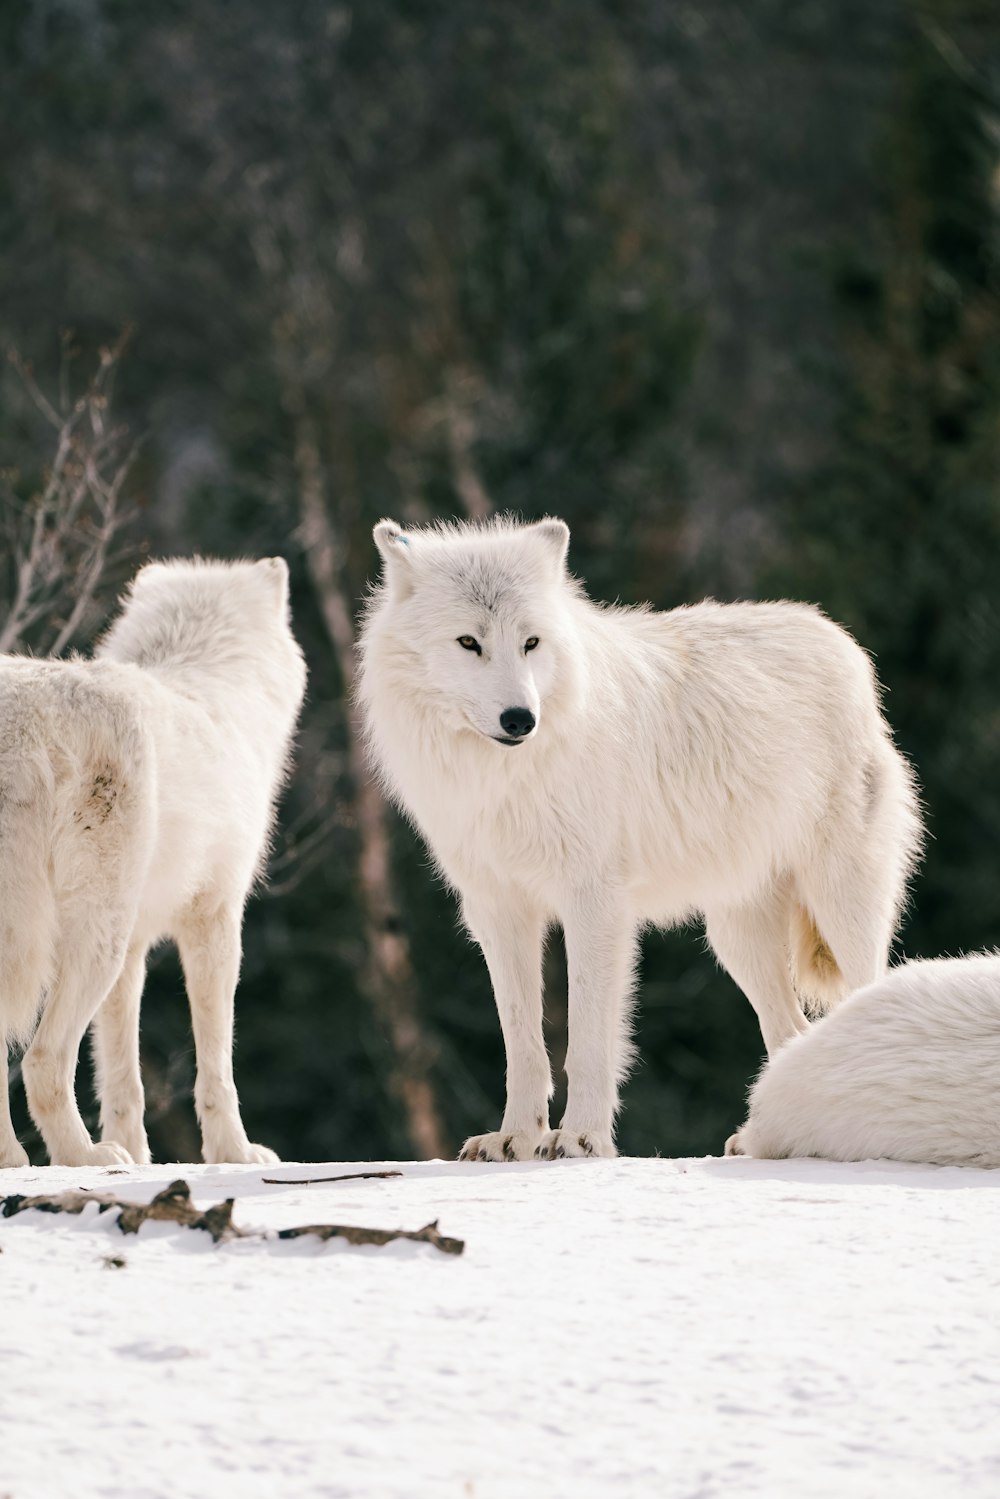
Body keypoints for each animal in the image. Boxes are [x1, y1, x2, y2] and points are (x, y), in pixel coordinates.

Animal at [0, 560, 305, 1169]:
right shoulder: (215, 919)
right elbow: (216, 1063)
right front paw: (234, 1153)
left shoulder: (137, 949)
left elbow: (122, 1074)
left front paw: (140, 1156)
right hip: (95, 938)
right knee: (43, 1062)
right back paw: (87, 1157)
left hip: (95, 940)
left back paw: (18, 1160)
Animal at [358, 515, 923, 1157]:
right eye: (468, 643)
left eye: (531, 643)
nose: (520, 719)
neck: (506, 777)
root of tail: (841, 641)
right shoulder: (498, 911)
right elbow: (522, 1045)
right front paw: (515, 1138)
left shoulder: (594, 903)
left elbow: (587, 1040)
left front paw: (579, 1138)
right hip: (735, 940)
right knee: (791, 1031)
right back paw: (763, 1142)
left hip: (841, 908)